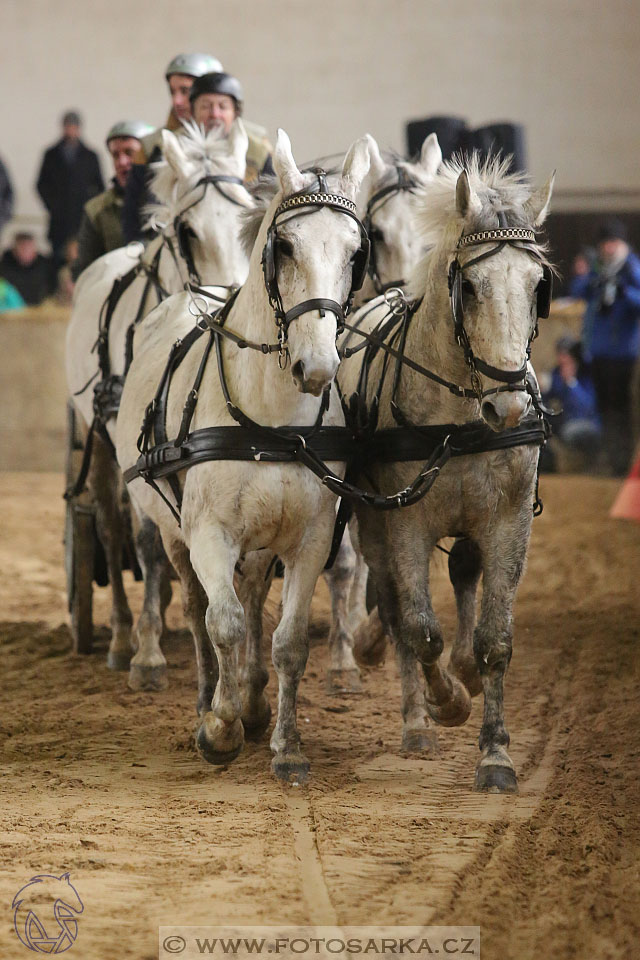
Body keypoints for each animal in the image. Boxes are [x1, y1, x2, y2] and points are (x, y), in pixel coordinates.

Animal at [65, 122, 252, 684]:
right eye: (187, 230)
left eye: (251, 216)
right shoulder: (138, 450)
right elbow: (145, 539)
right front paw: (146, 651)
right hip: (99, 440)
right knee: (109, 526)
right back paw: (122, 635)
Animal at [116, 129, 370, 780]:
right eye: (284, 246)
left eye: (355, 252)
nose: (317, 367)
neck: (273, 422)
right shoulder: (208, 533)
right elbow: (223, 624)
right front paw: (220, 727)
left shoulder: (310, 540)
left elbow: (288, 641)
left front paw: (285, 745)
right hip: (173, 531)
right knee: (197, 607)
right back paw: (210, 697)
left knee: (253, 598)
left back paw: (253, 699)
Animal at [338, 156, 552, 788]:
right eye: (470, 286)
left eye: (537, 286)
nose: (510, 407)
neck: (460, 417)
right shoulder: (405, 522)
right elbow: (419, 629)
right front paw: (445, 702)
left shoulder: (509, 521)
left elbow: (495, 639)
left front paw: (496, 753)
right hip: (373, 522)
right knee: (392, 603)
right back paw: (415, 717)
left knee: (461, 570)